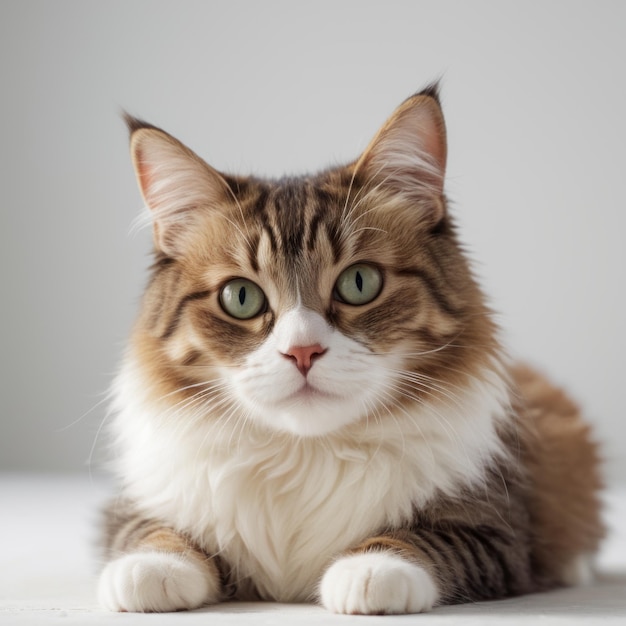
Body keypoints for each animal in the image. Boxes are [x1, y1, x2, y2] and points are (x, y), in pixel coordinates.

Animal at [100, 85, 604, 612]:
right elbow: (150, 532)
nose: (302, 352)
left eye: (359, 283)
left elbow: (422, 538)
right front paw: (151, 569)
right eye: (240, 297)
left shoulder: (496, 527)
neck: (304, 453)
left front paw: (371, 570)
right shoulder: (132, 504)